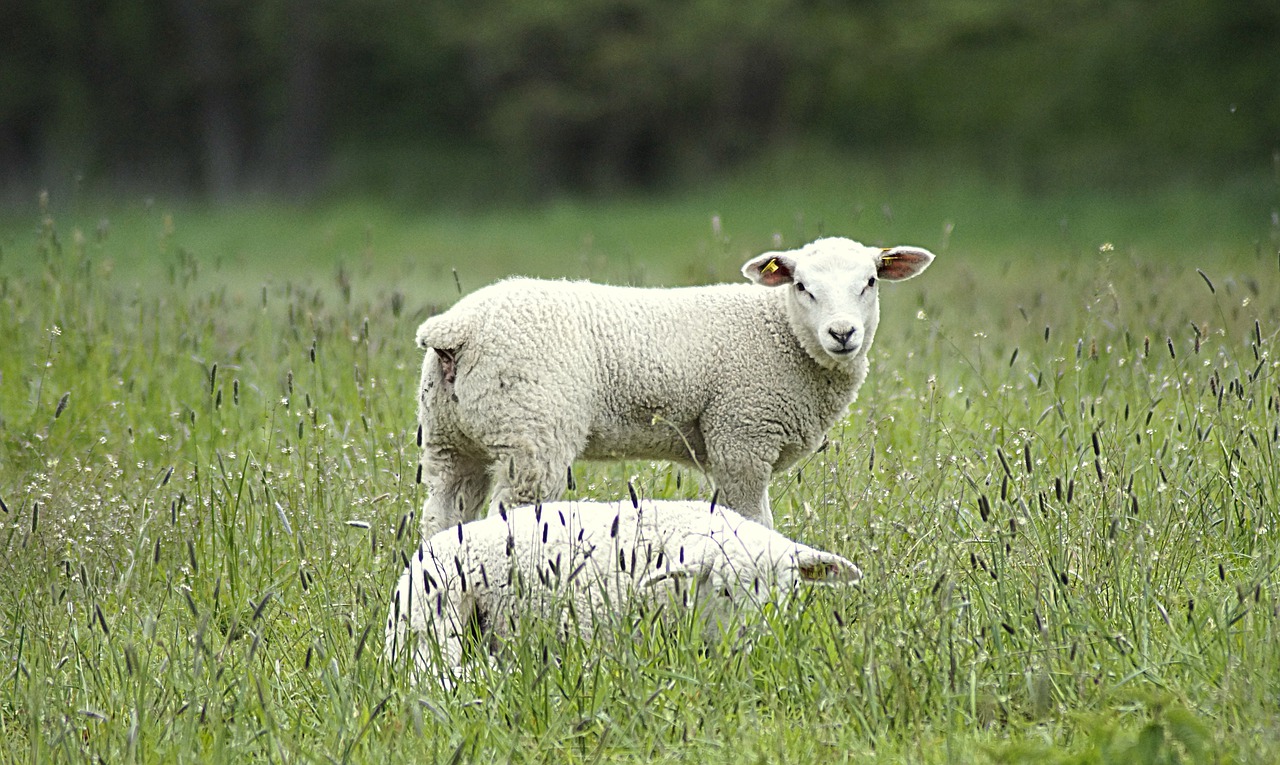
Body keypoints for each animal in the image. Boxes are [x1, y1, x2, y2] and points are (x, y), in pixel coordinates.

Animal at [414, 236, 936, 537]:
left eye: (870, 282)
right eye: (802, 287)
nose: (843, 333)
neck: (781, 332)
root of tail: (457, 330)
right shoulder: (741, 437)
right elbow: (754, 521)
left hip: (449, 441)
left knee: (441, 521)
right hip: (530, 434)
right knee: (508, 516)